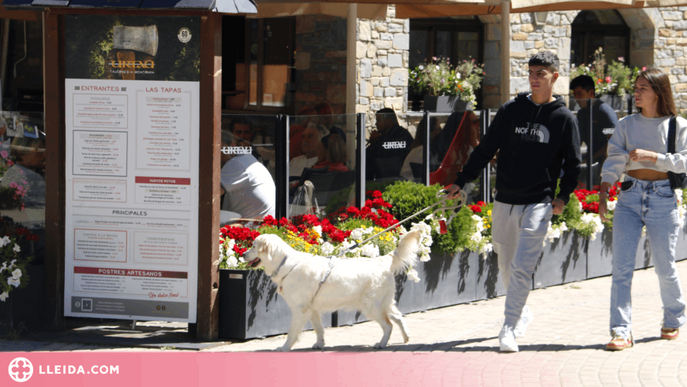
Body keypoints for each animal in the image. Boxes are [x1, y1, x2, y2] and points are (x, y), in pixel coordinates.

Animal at [245, 230, 422, 352]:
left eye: (253, 246)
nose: (243, 253)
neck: (285, 264)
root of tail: (381, 260)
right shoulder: (312, 308)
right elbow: (318, 329)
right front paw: (319, 344)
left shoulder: (300, 309)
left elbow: (291, 332)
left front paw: (284, 348)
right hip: (384, 303)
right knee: (398, 316)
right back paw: (406, 337)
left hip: (371, 306)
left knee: (388, 325)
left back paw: (381, 344)